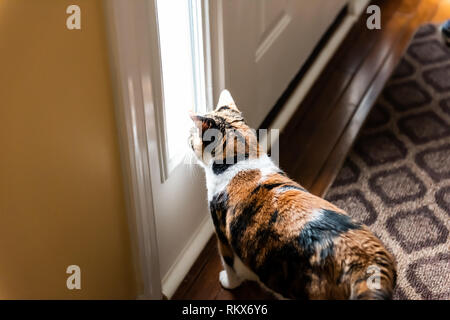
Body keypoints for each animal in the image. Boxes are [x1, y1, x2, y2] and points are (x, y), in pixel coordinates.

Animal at [188, 89, 396, 298]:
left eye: (192, 137)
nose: (188, 140)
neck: (241, 159)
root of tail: (364, 263)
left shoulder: (222, 233)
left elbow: (230, 266)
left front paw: (228, 282)